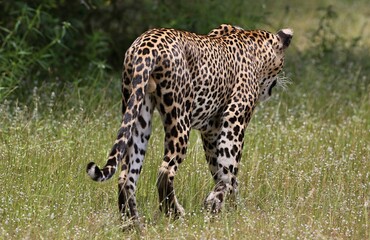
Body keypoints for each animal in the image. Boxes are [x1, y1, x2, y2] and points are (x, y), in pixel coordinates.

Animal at [86, 23, 292, 222]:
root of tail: (145, 45)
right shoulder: (234, 120)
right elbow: (228, 167)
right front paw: (217, 204)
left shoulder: (211, 132)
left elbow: (220, 170)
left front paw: (230, 207)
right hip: (179, 117)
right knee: (165, 170)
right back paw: (175, 213)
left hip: (138, 114)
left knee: (126, 176)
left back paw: (132, 224)